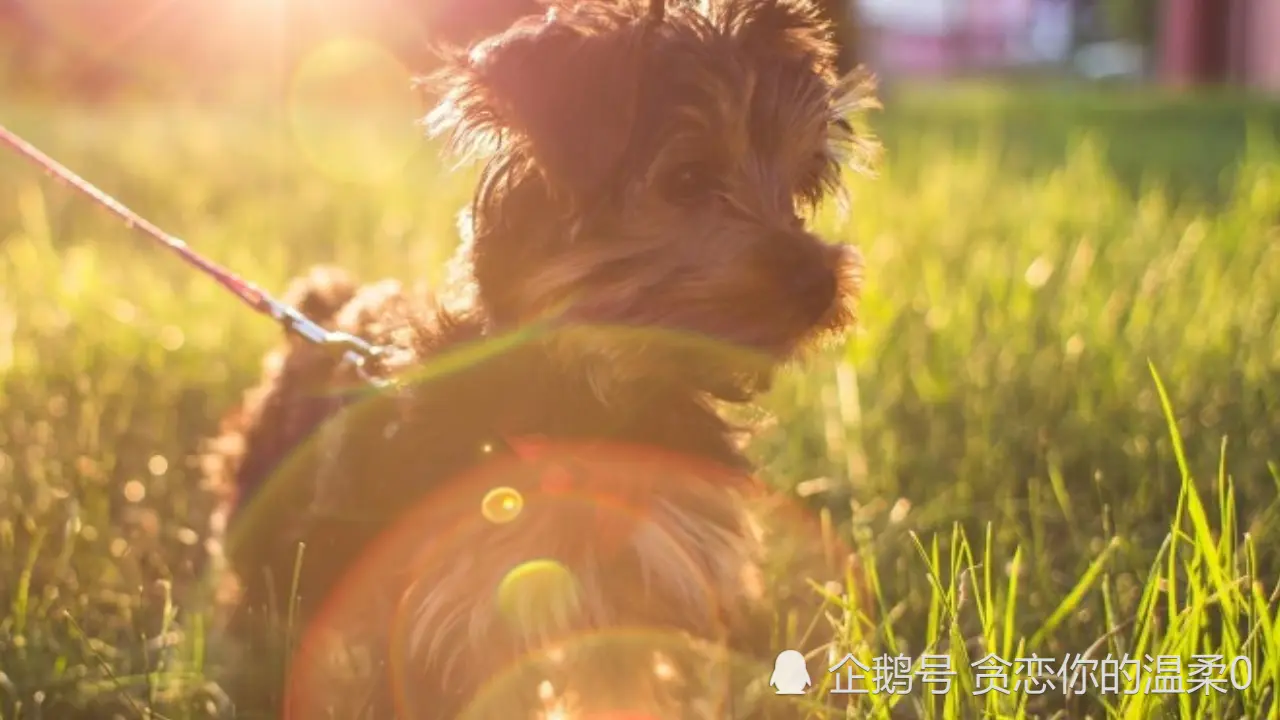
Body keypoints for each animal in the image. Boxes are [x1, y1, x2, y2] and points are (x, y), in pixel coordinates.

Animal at [202, 1, 880, 712]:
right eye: (688, 178)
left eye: (798, 186)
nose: (818, 283)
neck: (592, 394)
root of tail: (324, 310)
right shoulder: (434, 604)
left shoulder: (645, 581)